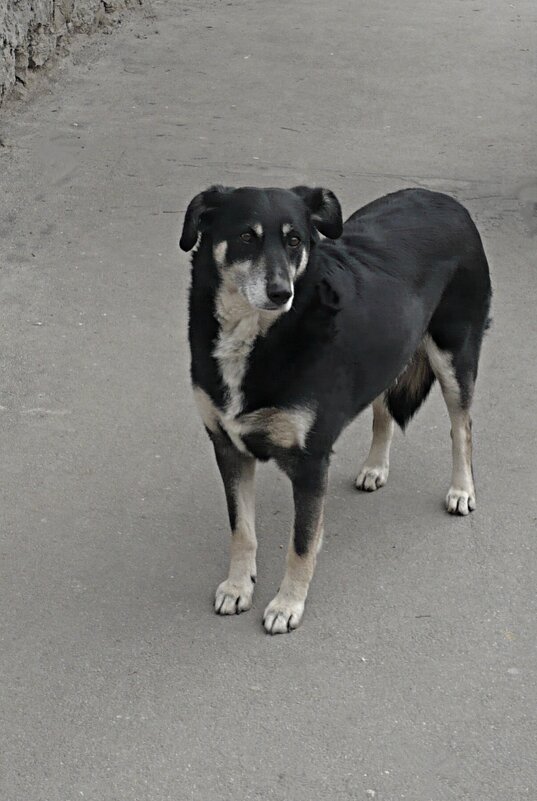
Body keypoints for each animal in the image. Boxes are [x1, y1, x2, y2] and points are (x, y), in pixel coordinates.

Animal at [179, 184, 490, 636]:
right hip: (387, 350)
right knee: (383, 409)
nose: (281, 293)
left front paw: (287, 603)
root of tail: (442, 197)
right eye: (246, 237)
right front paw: (238, 586)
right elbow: (242, 530)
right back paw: (375, 467)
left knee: (461, 427)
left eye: (294, 240)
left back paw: (462, 490)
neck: (258, 337)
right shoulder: (228, 447)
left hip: (454, 354)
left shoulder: (311, 463)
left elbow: (301, 542)